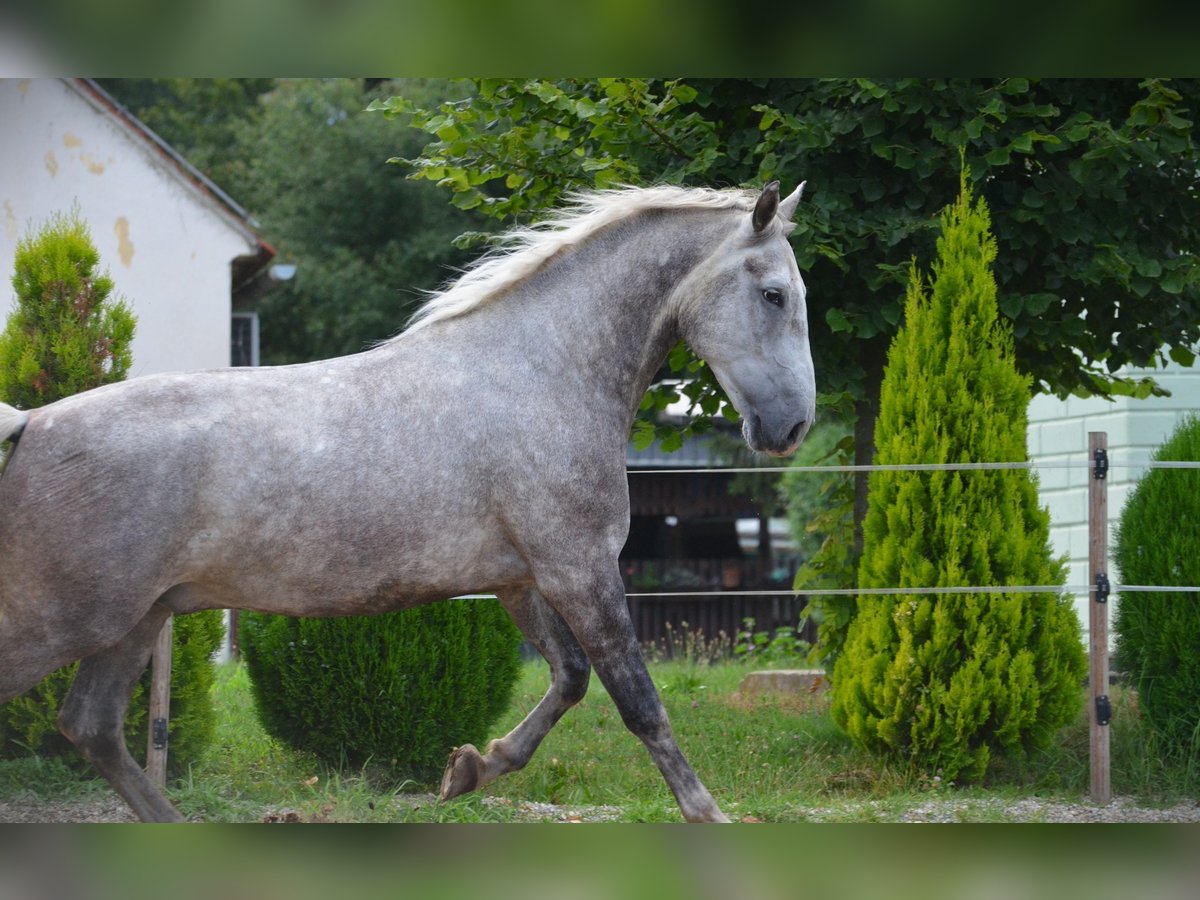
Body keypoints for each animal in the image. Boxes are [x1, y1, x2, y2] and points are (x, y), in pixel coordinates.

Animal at [0, 183, 811, 825]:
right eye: (774, 294)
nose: (792, 427)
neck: (544, 373)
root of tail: (30, 426)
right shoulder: (579, 567)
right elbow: (638, 701)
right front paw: (708, 814)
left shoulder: (523, 579)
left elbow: (569, 678)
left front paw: (468, 769)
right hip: (68, 619)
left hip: (136, 618)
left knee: (92, 726)